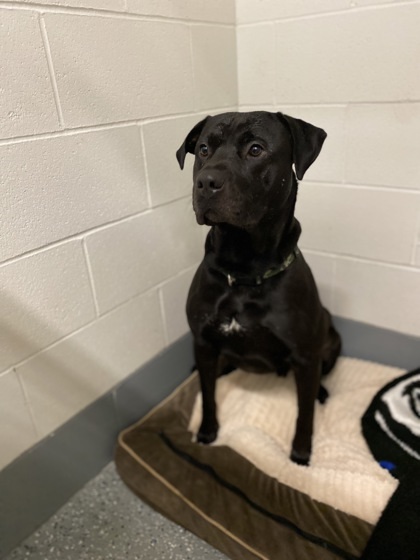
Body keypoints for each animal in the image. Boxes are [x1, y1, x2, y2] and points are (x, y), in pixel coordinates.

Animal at [176, 111, 340, 466]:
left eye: (256, 149)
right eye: (204, 149)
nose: (206, 182)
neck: (243, 269)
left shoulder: (305, 356)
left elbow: (304, 411)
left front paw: (301, 453)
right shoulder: (203, 342)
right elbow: (207, 394)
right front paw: (207, 432)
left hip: (331, 338)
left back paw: (321, 391)